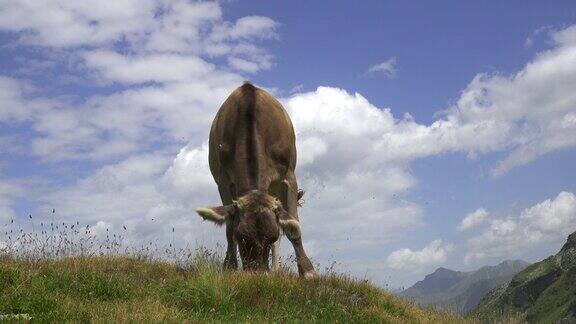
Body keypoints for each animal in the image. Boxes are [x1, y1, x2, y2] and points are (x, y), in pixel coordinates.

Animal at [196, 82, 318, 278]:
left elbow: (293, 228)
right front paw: (229, 266)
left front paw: (307, 271)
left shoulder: (289, 177)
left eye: (272, 235)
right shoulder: (223, 181)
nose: (257, 275)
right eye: (241, 236)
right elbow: (229, 226)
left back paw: (275, 269)